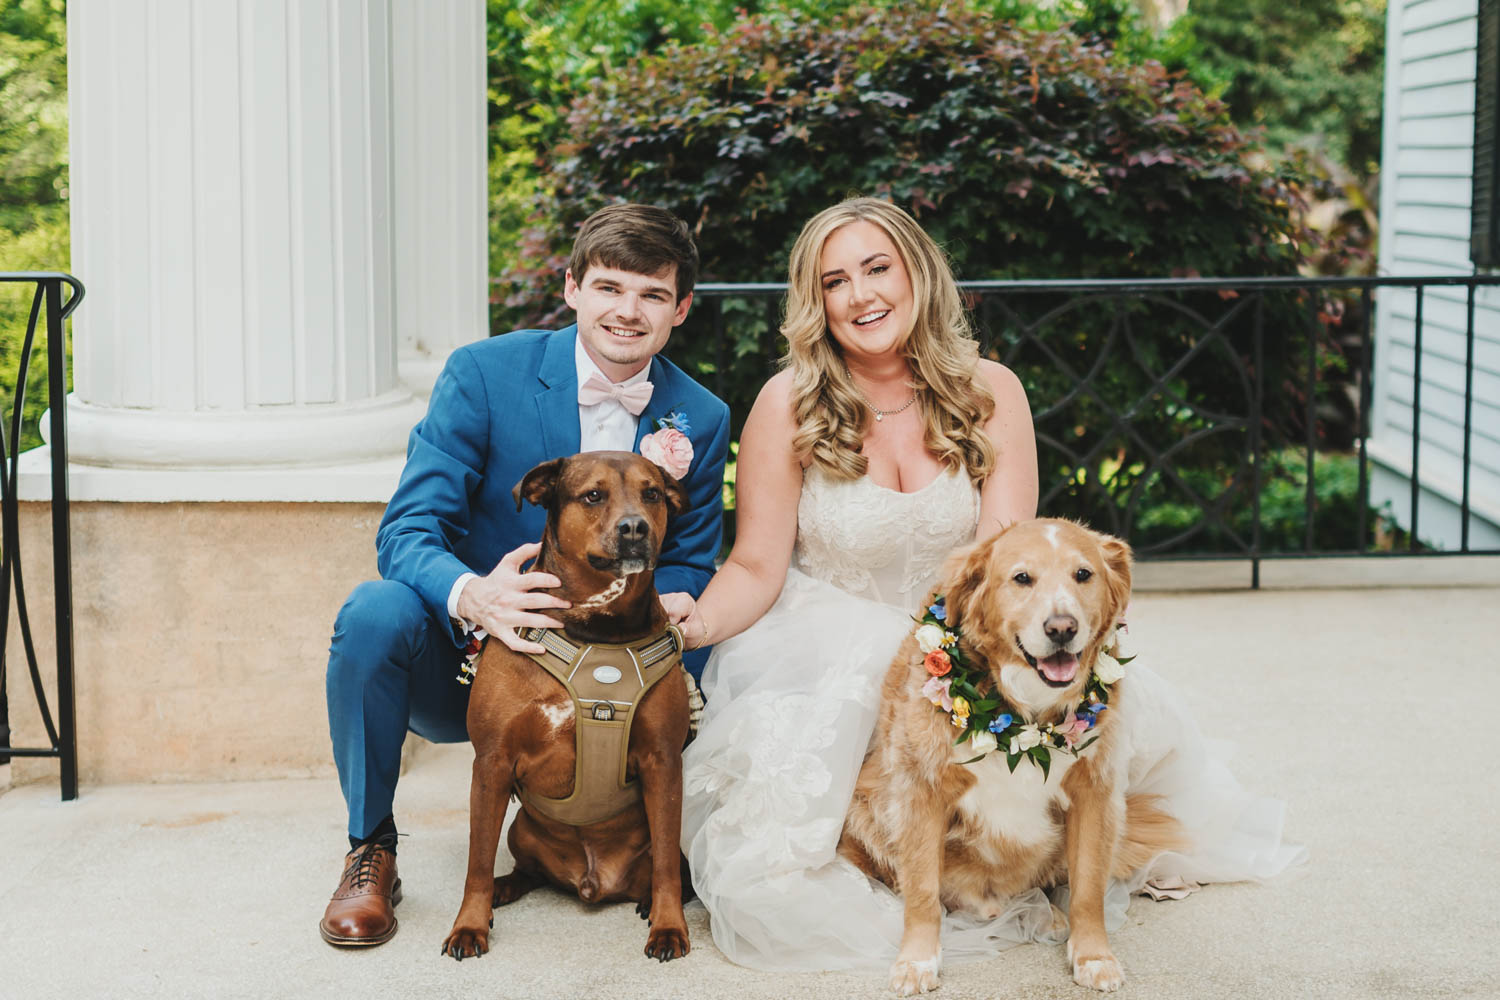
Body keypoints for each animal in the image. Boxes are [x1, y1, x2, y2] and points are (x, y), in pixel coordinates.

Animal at [441, 452, 693, 959]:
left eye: (652, 493)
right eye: (592, 495)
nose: (635, 528)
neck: (596, 627)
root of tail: (594, 880)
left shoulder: (663, 763)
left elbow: (666, 866)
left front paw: (668, 925)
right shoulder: (492, 762)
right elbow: (477, 860)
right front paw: (470, 925)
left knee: (668, 867)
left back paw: (647, 903)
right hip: (520, 828)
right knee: (526, 871)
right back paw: (504, 888)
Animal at [840, 521, 1188, 995]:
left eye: (1083, 574)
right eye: (1022, 578)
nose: (1062, 628)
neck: (1025, 715)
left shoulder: (1094, 794)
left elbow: (1088, 889)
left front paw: (1093, 955)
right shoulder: (921, 792)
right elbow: (923, 890)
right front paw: (916, 960)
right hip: (867, 804)